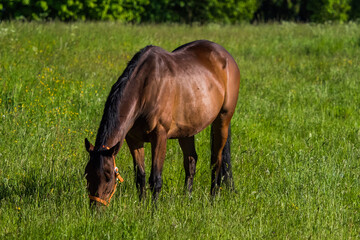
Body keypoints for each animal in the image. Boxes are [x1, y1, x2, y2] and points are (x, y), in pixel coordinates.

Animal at [85, 39, 239, 206]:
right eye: (87, 174)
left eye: (108, 176)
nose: (95, 208)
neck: (145, 89)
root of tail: (225, 56)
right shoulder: (134, 140)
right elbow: (140, 177)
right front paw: (141, 206)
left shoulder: (159, 136)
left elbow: (155, 179)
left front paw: (154, 209)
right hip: (186, 131)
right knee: (191, 161)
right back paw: (187, 199)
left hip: (222, 121)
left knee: (216, 162)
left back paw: (212, 199)